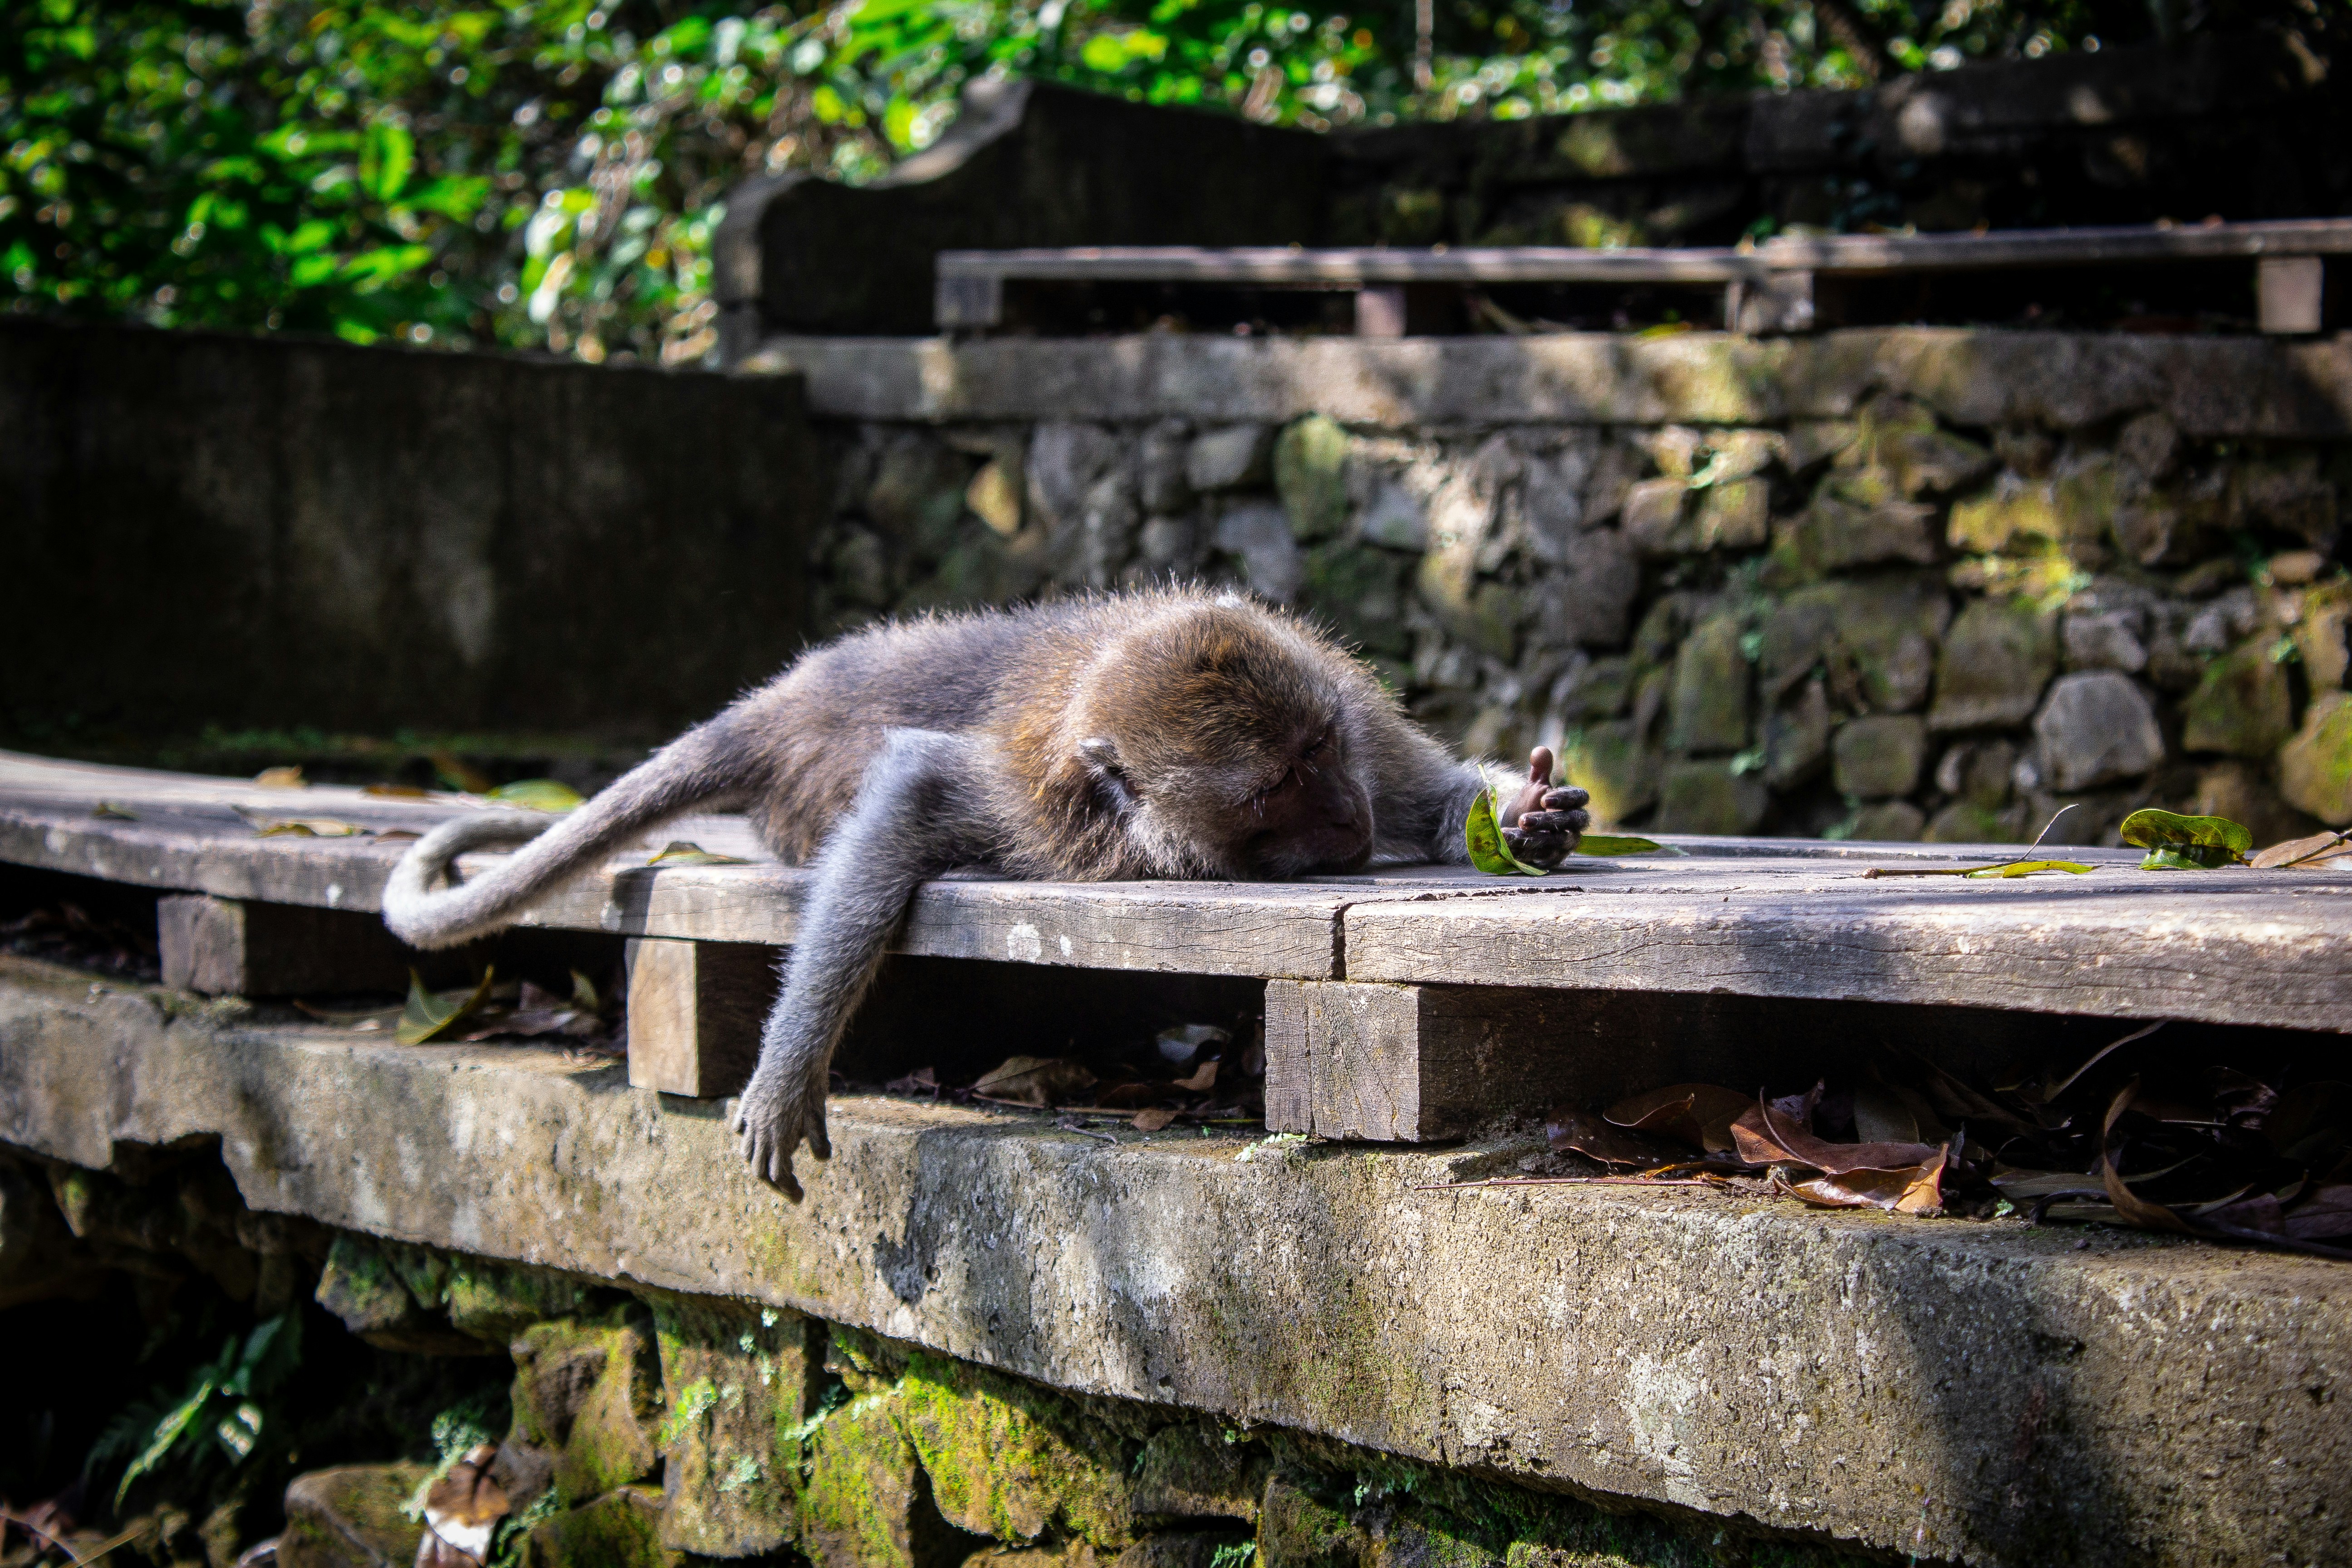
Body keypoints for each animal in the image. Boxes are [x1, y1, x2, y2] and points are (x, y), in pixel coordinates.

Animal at [383, 588, 1589, 1197]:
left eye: (1320, 748)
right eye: (1276, 788)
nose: (1346, 821)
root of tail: (773, 706)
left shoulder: (1357, 718)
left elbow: (1429, 795)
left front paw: (1525, 815)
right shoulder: (1037, 808)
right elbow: (913, 786)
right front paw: (789, 1067)